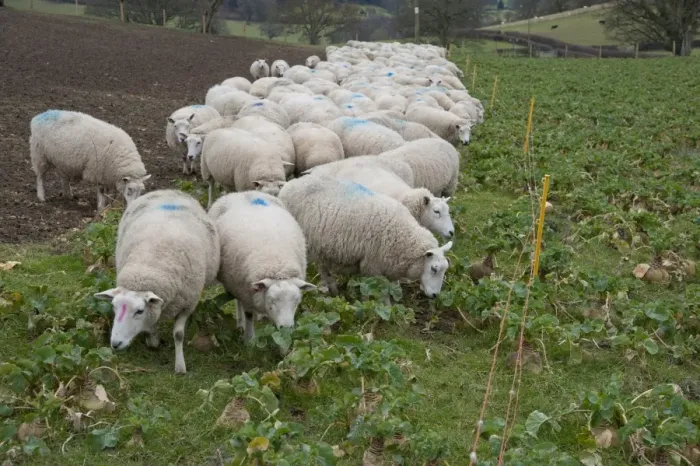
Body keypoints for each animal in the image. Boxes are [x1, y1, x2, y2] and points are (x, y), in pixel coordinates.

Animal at [95, 189, 220, 374]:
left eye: (139, 311)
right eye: (114, 307)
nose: (115, 344)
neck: (149, 265)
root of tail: (168, 190)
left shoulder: (187, 303)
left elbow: (178, 334)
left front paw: (180, 366)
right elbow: (151, 327)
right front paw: (153, 340)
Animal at [208, 192, 314, 341]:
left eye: (296, 301)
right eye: (271, 300)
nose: (286, 328)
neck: (278, 266)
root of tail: (241, 193)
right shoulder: (245, 291)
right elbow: (248, 315)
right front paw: (249, 339)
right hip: (234, 281)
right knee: (238, 301)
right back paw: (240, 324)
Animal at [278, 175, 453, 298]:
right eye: (434, 268)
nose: (435, 296)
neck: (404, 235)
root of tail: (291, 183)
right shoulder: (372, 266)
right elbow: (380, 293)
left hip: (319, 246)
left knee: (323, 266)